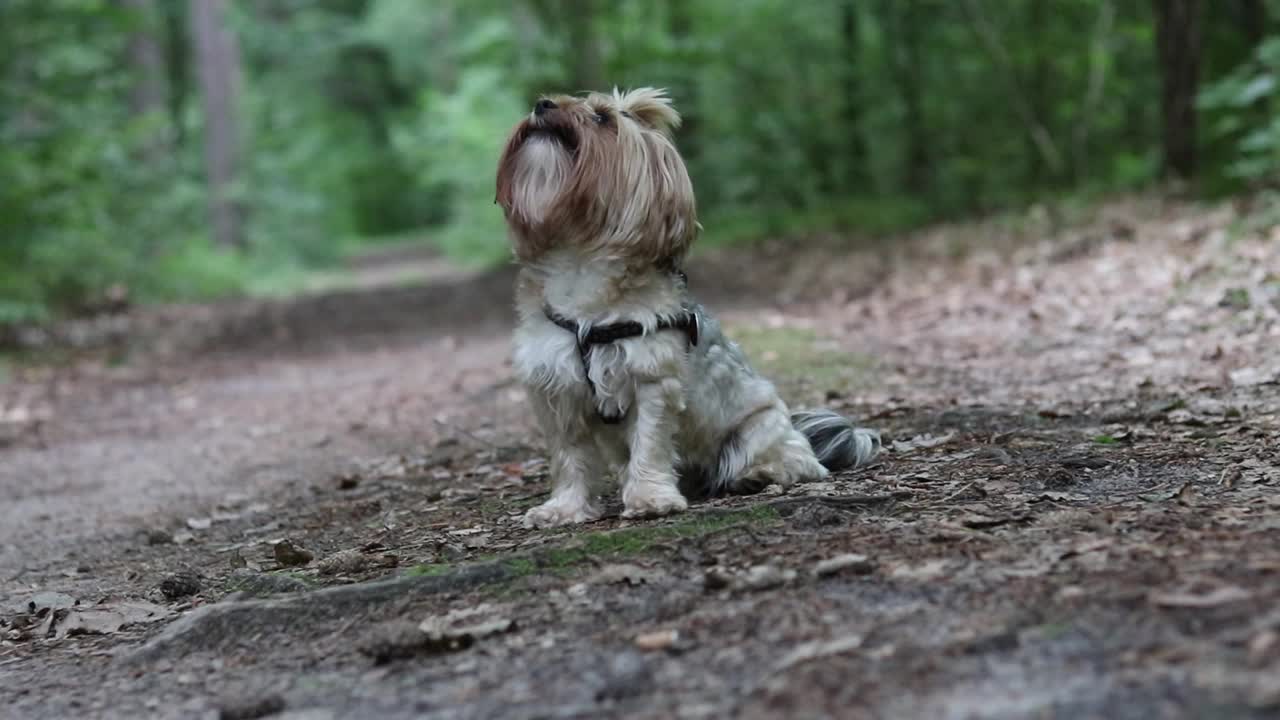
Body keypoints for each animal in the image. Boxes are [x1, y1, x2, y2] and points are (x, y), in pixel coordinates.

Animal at [491, 89, 880, 527]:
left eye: (602, 118)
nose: (541, 104)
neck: (579, 267)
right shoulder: (556, 388)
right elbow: (569, 454)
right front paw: (565, 507)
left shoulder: (651, 379)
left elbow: (649, 442)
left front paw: (650, 498)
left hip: (758, 426)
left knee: (796, 461)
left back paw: (758, 473)